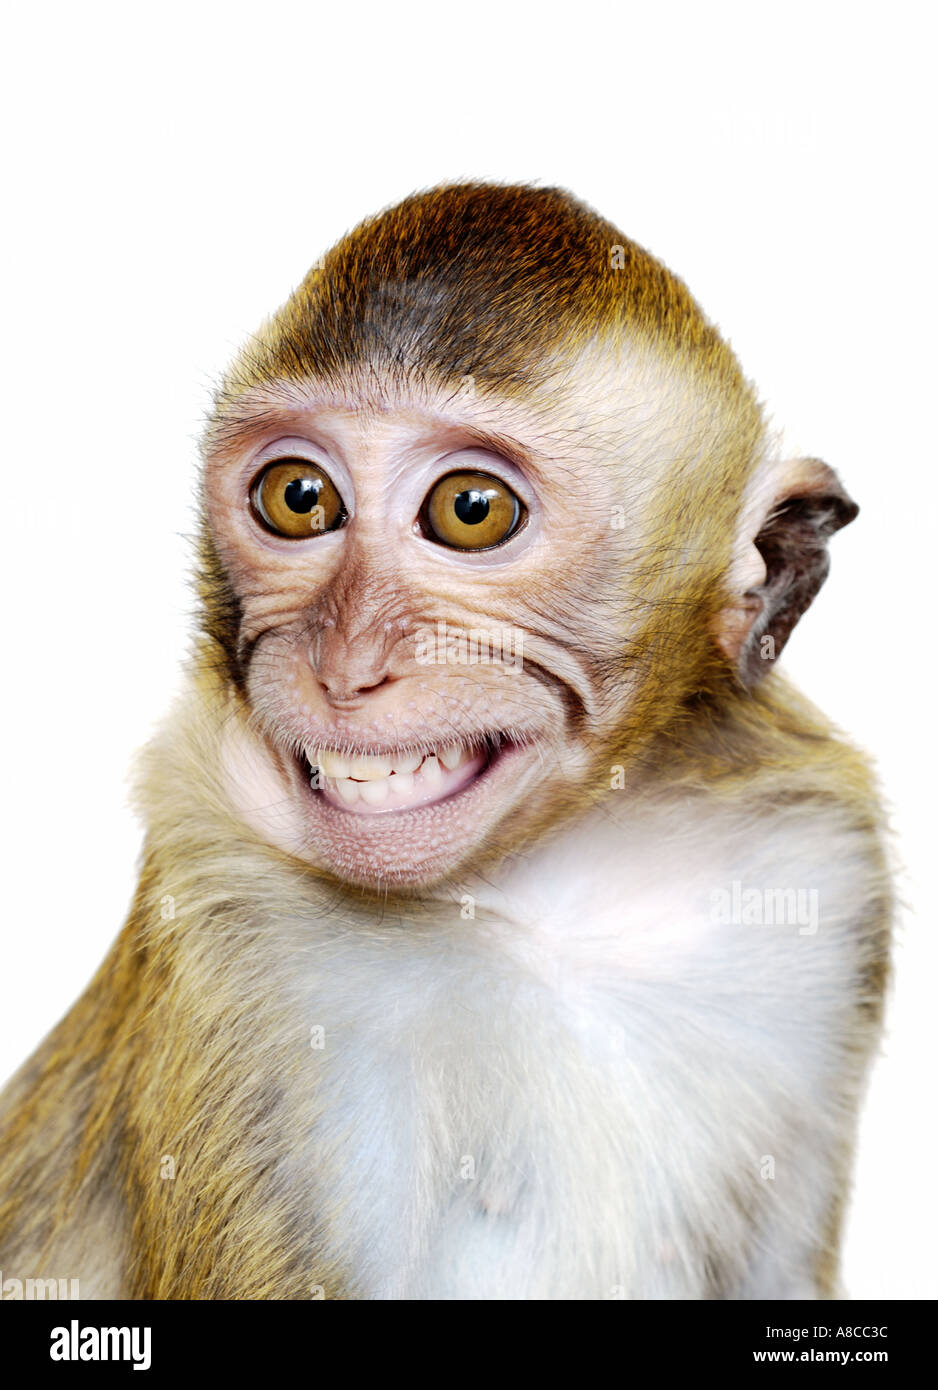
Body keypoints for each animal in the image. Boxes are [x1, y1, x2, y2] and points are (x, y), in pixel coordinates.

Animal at [0, 182, 891, 1301]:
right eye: (299, 497)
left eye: (470, 510)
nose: (345, 663)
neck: (531, 892)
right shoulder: (236, 920)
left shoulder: (818, 863)